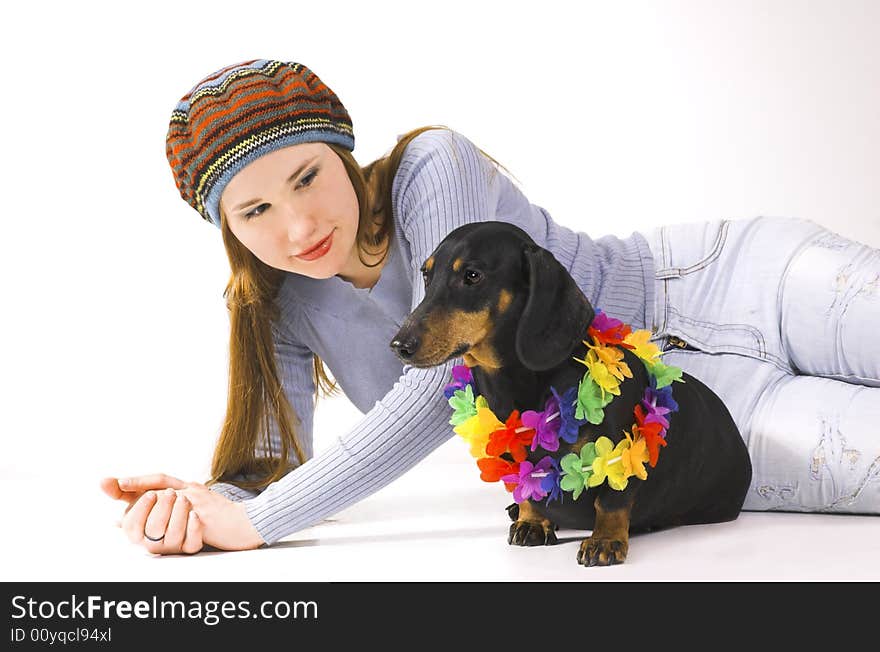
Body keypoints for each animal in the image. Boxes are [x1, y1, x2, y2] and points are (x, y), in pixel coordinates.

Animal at [396, 220, 752, 564]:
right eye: (426, 274)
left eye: (472, 275)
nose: (399, 345)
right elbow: (530, 490)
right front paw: (531, 521)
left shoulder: (624, 451)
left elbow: (611, 500)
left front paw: (605, 540)